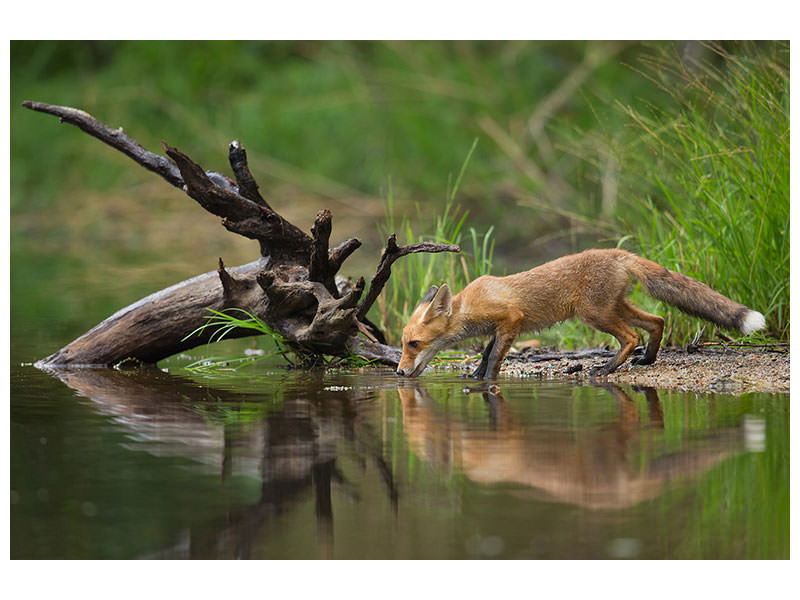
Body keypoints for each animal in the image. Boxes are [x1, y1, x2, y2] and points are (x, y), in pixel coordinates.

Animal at [395, 248, 766, 379]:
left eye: (413, 344)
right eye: (403, 344)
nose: (398, 372)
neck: (470, 305)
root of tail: (616, 252)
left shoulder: (511, 320)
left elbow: (496, 359)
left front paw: (484, 382)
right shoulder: (498, 328)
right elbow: (487, 353)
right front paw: (474, 377)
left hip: (593, 315)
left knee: (631, 335)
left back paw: (605, 369)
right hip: (615, 308)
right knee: (657, 321)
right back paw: (647, 360)